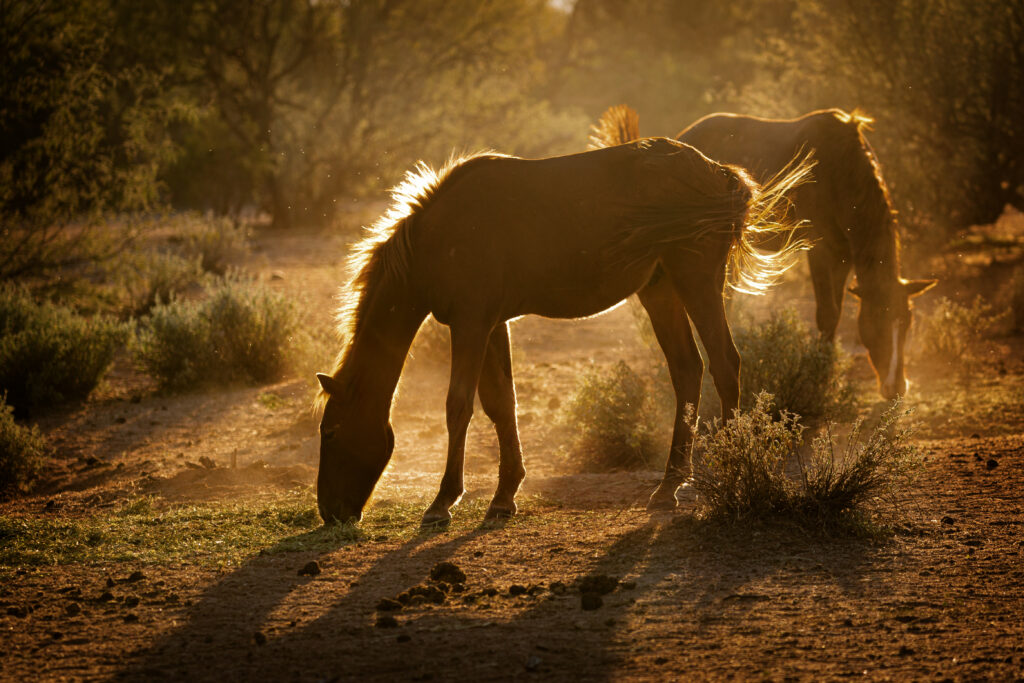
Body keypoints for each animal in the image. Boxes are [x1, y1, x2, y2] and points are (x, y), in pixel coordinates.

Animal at [314, 138, 810, 525]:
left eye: (331, 433)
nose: (330, 512)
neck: (438, 238)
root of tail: (719, 173)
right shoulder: (491, 325)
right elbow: (501, 404)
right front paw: (504, 497)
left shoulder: (471, 324)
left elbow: (459, 406)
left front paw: (442, 503)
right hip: (661, 289)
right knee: (688, 370)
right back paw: (668, 487)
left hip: (695, 279)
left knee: (725, 364)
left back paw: (730, 471)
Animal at [590, 105, 937, 400]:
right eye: (876, 322)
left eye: (907, 323)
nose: (896, 388)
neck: (843, 172)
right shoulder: (822, 251)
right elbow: (828, 314)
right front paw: (823, 373)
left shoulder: (841, 254)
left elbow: (835, 313)